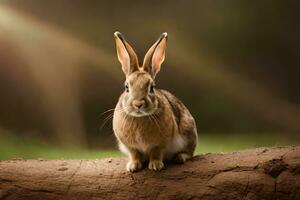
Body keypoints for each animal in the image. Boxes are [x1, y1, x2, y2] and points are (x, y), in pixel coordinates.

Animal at [112, 31, 197, 172]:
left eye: (152, 87)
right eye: (126, 87)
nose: (138, 104)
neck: (139, 118)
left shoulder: (160, 143)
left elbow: (156, 152)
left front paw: (156, 166)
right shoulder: (130, 146)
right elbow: (134, 154)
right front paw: (133, 166)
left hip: (188, 131)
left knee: (189, 152)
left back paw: (180, 157)